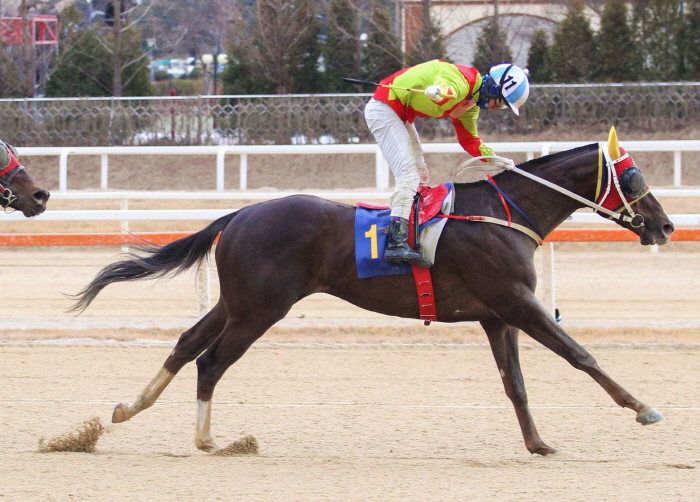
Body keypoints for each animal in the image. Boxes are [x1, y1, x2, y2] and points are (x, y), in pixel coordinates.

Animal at [69, 129, 672, 454]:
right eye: (634, 177)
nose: (665, 226)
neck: (504, 214)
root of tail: (240, 213)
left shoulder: (497, 315)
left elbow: (515, 385)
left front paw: (537, 443)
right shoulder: (516, 303)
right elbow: (580, 354)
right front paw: (642, 407)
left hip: (236, 301)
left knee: (186, 342)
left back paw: (128, 408)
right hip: (261, 309)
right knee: (211, 361)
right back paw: (206, 440)